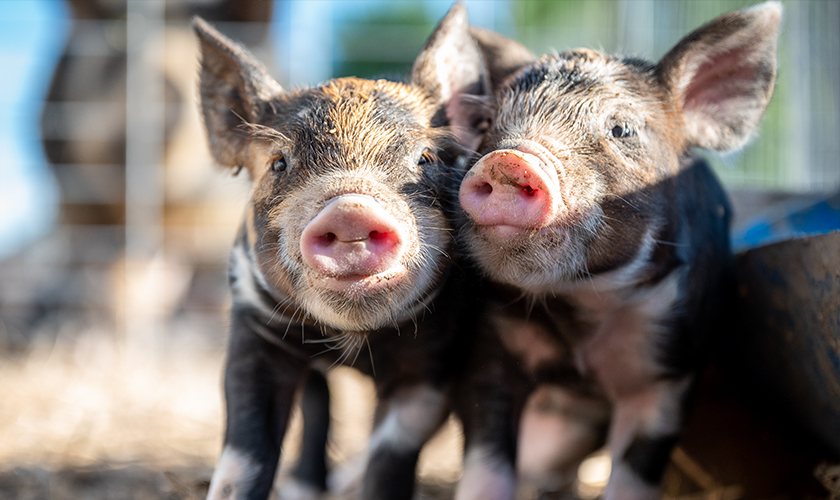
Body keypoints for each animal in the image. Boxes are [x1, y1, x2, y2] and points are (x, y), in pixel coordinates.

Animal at [193, 4, 496, 500]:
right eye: (279, 163)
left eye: (425, 159)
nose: (350, 209)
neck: (355, 341)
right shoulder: (254, 325)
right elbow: (245, 451)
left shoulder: (431, 363)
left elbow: (392, 456)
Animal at [453, 3, 781, 499]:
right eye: (489, 125)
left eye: (621, 128)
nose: (507, 160)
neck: (587, 307)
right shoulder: (493, 347)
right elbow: (487, 463)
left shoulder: (670, 371)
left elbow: (633, 472)